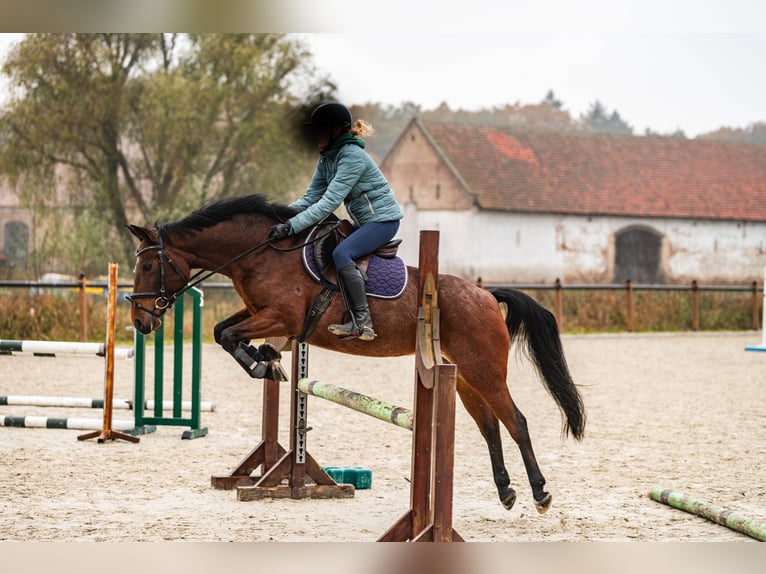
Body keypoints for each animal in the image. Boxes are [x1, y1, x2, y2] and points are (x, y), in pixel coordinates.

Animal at [127, 194, 588, 512]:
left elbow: (228, 336)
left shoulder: (280, 317)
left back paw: (540, 492)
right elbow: (224, 332)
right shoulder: (263, 315)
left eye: (148, 267)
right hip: (464, 377)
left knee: (517, 422)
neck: (261, 254)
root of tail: (487, 295)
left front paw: (262, 364)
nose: (140, 322)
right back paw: (506, 491)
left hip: (485, 372)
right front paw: (268, 361)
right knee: (490, 427)